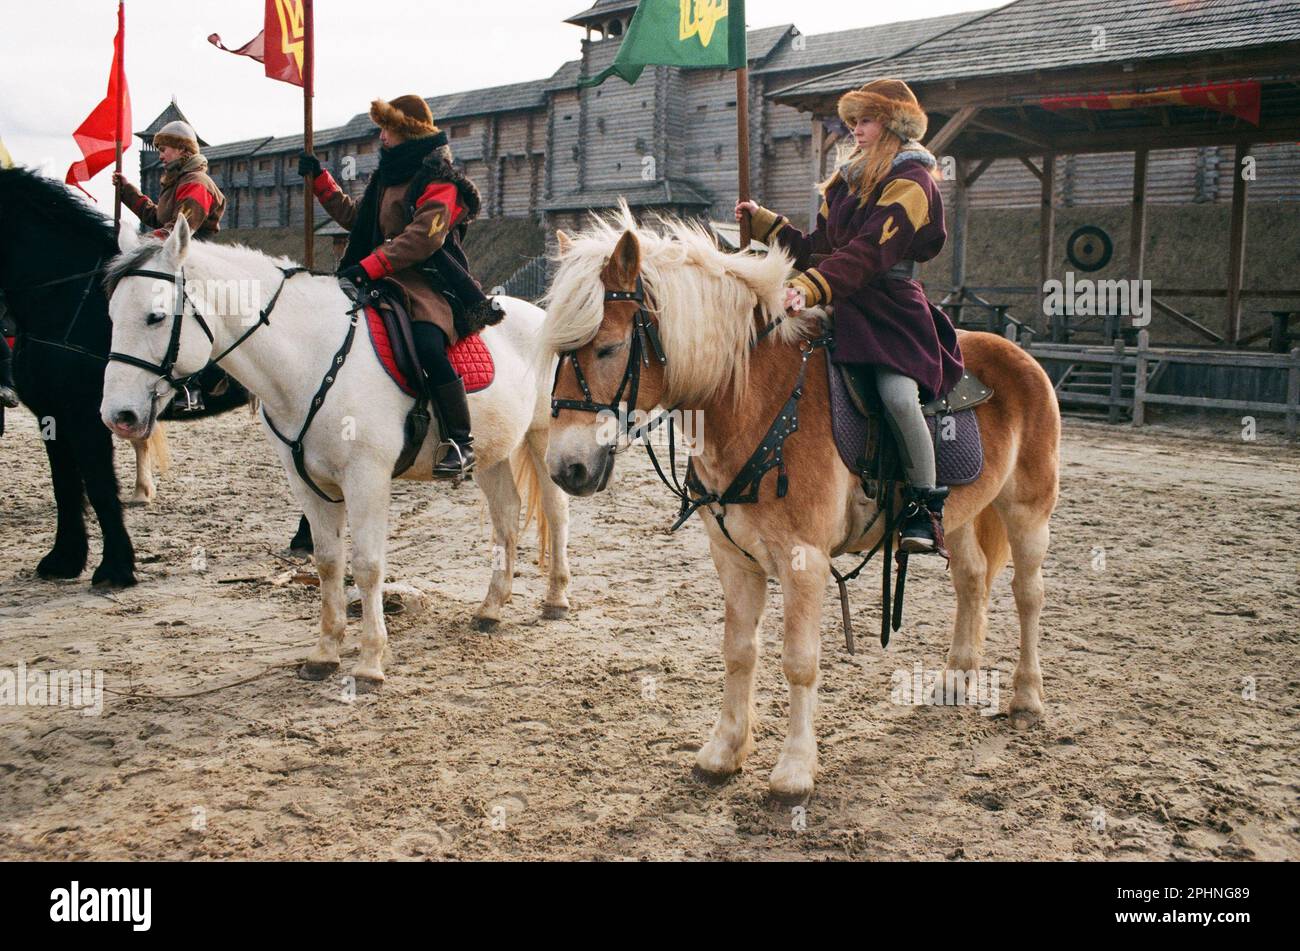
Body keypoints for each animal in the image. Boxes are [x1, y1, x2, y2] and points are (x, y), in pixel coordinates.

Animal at [0, 167, 271, 589]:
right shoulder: (53, 416)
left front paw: (115, 566)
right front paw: (65, 559)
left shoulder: (88, 420)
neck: (64, 300)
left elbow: (99, 488)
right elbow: (65, 487)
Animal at [101, 219, 569, 685]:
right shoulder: (306, 482)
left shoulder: (366, 478)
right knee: (506, 516)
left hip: (541, 439)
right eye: (110, 316)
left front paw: (370, 660)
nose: (118, 415)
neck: (311, 358)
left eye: (156, 316)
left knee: (555, 510)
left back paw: (556, 599)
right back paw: (491, 608)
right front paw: (325, 652)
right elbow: (328, 563)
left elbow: (366, 565)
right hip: (492, 453)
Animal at [538, 206, 1055, 795]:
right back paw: (956, 678)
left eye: (606, 347)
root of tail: (1019, 355)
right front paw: (725, 749)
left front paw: (794, 768)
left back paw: (1027, 696)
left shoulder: (802, 560)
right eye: (560, 352)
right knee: (971, 580)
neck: (751, 398)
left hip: (1029, 511)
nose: (565, 467)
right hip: (963, 516)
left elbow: (799, 661)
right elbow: (739, 652)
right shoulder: (733, 558)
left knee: (1027, 594)